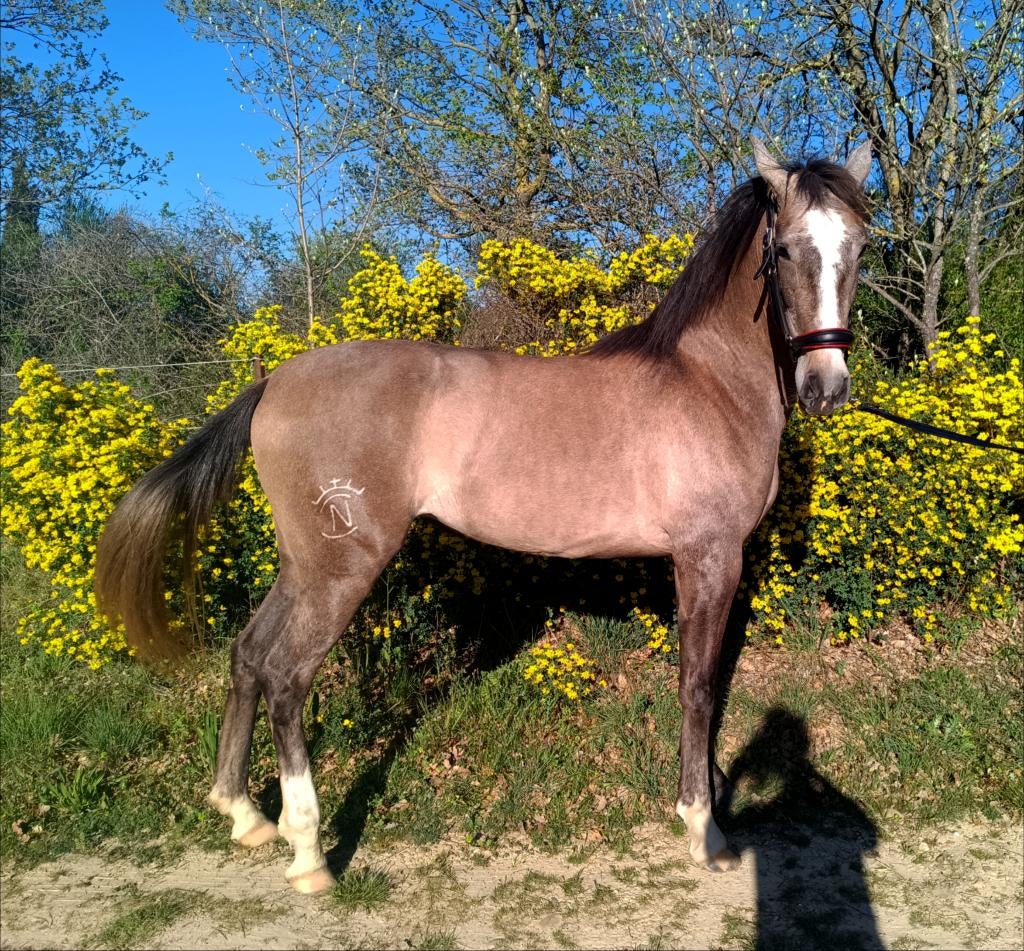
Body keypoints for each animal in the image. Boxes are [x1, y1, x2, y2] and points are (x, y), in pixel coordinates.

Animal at [95, 135, 872, 894]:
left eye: (860, 246)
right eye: (786, 250)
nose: (826, 388)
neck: (706, 382)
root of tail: (274, 381)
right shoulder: (708, 557)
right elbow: (700, 688)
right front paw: (703, 827)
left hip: (304, 564)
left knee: (249, 655)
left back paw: (243, 812)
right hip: (341, 568)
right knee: (287, 675)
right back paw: (308, 850)